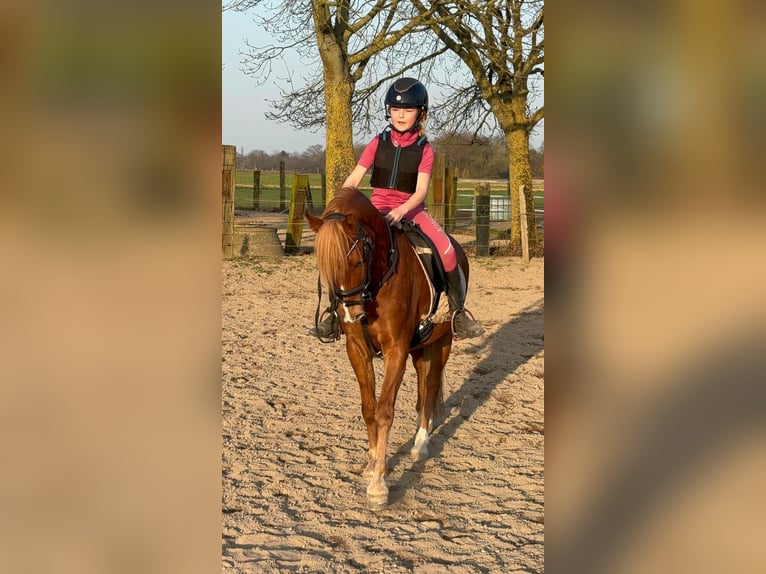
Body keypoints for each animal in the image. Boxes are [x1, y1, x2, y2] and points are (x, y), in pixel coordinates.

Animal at [306, 186, 472, 508]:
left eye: (357, 262)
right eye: (325, 267)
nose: (350, 315)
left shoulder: (396, 350)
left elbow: (385, 411)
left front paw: (379, 485)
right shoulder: (357, 350)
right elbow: (369, 408)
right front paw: (371, 465)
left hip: (441, 343)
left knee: (430, 387)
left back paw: (421, 444)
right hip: (420, 349)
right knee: (422, 390)